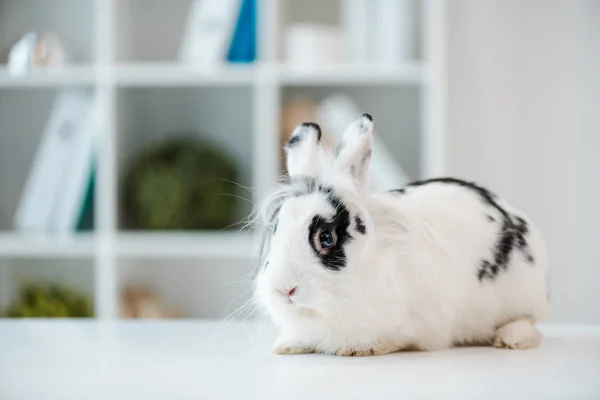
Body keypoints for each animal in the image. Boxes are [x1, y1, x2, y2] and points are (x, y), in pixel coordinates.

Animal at [253, 114, 548, 354]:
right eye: (276, 230)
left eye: (326, 238)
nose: (284, 288)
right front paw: (286, 346)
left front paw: (365, 349)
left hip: (523, 297)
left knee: (530, 323)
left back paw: (509, 339)